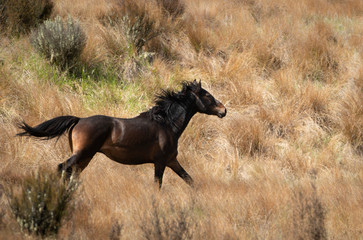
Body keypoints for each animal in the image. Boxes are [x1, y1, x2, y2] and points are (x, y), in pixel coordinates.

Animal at [17, 79, 228, 188]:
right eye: (207, 95)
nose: (223, 110)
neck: (167, 124)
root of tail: (79, 119)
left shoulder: (172, 161)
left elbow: (190, 181)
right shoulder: (160, 162)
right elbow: (158, 185)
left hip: (85, 157)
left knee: (71, 173)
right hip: (82, 154)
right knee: (62, 168)